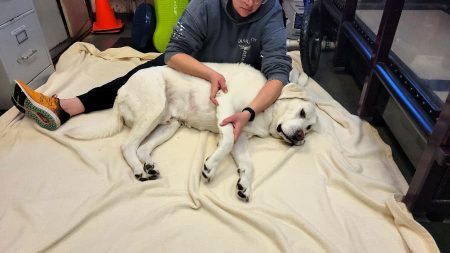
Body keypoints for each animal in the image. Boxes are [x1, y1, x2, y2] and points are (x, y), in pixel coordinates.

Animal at [64, 63, 316, 202]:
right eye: (302, 113)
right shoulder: (227, 108)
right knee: (127, 146)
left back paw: (149, 166)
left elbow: (249, 165)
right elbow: (224, 144)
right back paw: (138, 170)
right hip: (153, 108)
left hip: (168, 124)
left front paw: (244, 184)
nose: (300, 138)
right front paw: (209, 167)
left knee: (142, 147)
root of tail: (119, 94)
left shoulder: (240, 138)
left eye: (310, 128)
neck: (267, 111)